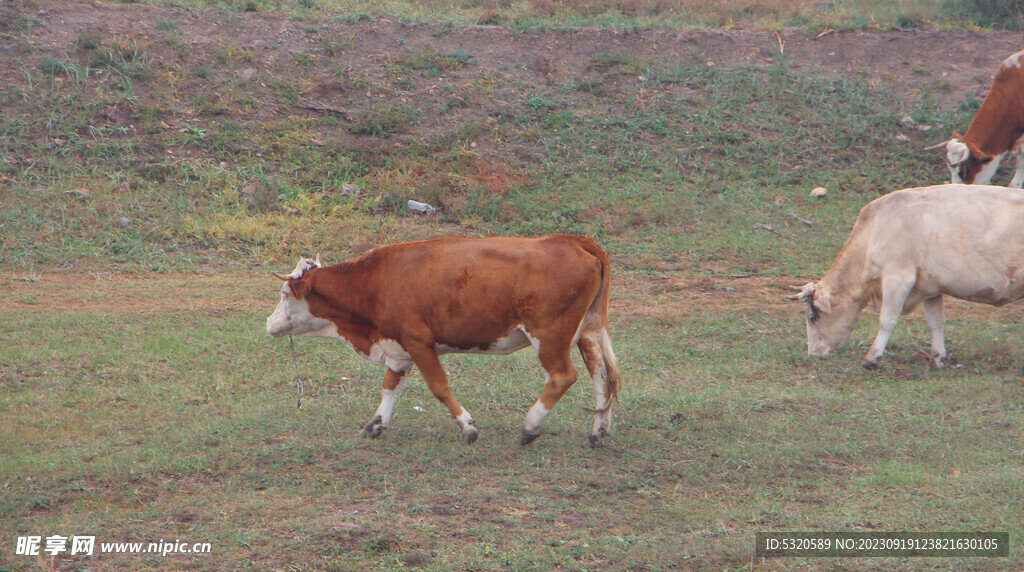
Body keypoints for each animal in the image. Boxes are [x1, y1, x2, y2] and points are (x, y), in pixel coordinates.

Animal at [264, 234, 618, 448]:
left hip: (549, 336)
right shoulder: (399, 349)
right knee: (601, 376)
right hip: (587, 333)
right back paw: (598, 432)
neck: (375, 282)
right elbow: (390, 387)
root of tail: (572, 240)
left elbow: (439, 387)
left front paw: (467, 426)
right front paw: (376, 424)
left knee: (562, 377)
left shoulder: (419, 341)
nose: (269, 324)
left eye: (284, 294)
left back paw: (530, 427)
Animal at [790, 186, 1024, 368]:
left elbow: (887, 319)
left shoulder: (898, 277)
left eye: (812, 317)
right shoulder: (930, 287)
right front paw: (937, 358)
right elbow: (936, 322)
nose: (813, 354)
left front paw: (871, 358)